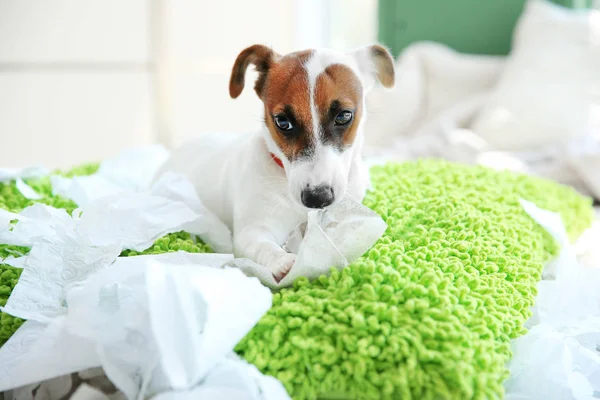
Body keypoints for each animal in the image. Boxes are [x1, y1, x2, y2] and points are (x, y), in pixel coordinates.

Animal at [157, 43, 396, 282]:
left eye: (344, 116)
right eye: (282, 122)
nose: (317, 198)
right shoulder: (251, 231)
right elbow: (263, 246)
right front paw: (284, 261)